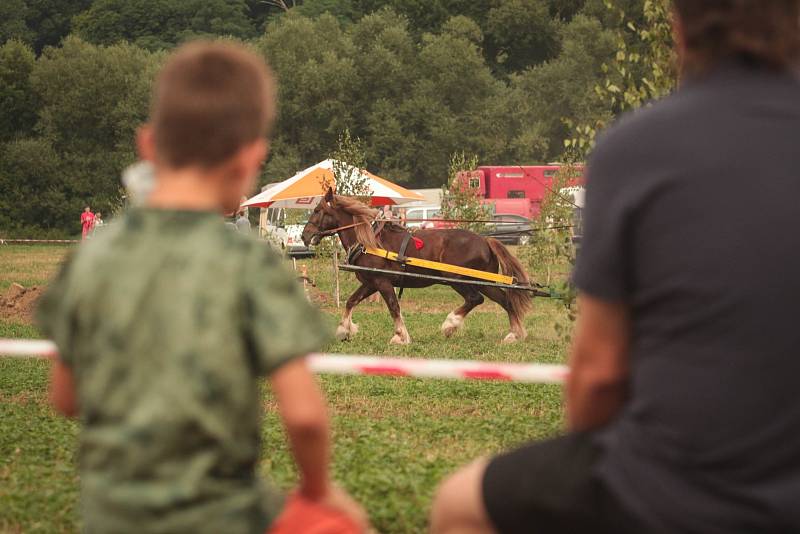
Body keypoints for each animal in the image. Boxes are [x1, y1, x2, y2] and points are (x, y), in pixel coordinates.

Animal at [300, 191, 532, 346]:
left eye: (318, 210)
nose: (305, 235)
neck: (369, 241)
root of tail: (485, 240)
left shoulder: (382, 282)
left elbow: (393, 307)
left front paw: (400, 336)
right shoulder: (370, 283)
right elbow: (351, 301)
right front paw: (343, 330)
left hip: (458, 279)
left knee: (476, 299)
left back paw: (450, 325)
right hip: (483, 281)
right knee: (505, 301)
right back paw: (514, 334)